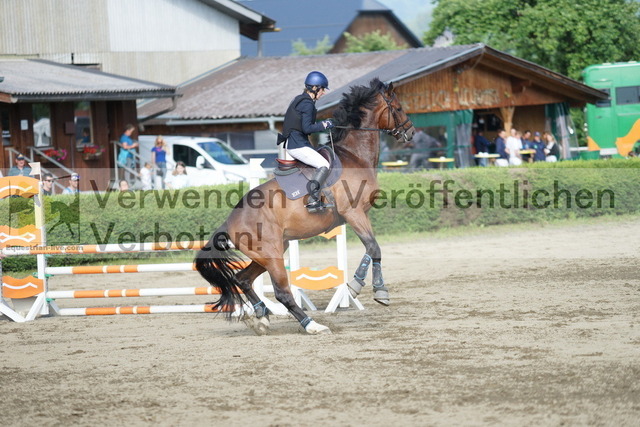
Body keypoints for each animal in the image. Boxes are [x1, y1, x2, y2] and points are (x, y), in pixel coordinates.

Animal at [195, 78, 415, 335]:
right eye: (398, 108)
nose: (410, 132)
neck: (354, 156)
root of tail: (229, 222)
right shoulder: (353, 213)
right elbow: (373, 247)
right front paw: (365, 287)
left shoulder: (360, 215)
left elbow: (372, 249)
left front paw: (370, 287)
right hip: (272, 256)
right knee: (282, 293)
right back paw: (312, 325)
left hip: (271, 252)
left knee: (243, 279)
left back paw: (261, 318)